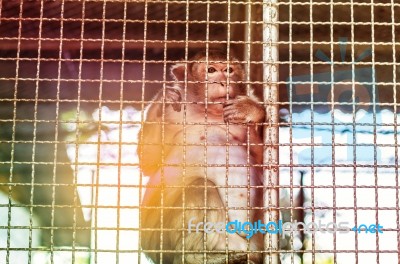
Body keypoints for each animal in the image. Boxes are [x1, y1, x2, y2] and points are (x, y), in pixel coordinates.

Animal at [138, 50, 266, 264]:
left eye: (228, 70)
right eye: (211, 70)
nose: (223, 81)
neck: (210, 113)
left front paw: (252, 110)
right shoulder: (175, 112)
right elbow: (148, 161)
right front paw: (163, 99)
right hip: (157, 239)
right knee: (200, 188)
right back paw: (194, 255)